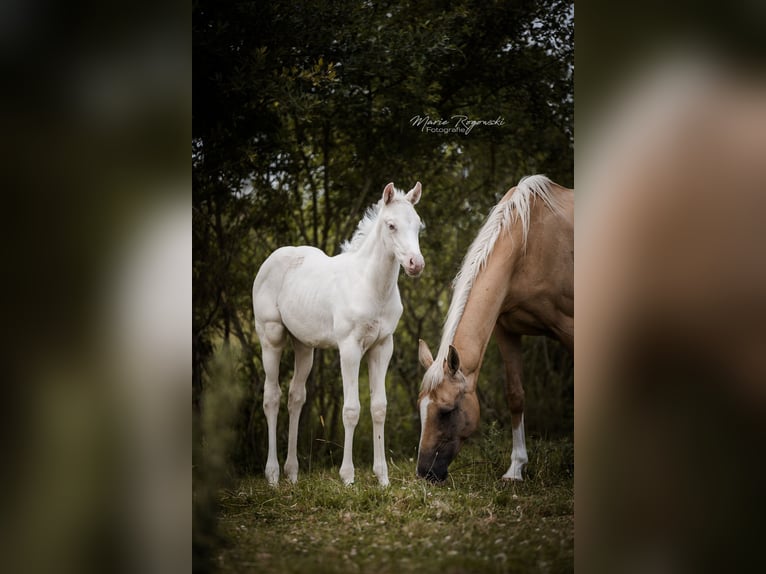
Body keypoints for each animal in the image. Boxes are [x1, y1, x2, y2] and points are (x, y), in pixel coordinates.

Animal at [254, 182, 426, 488]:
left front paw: (382, 477)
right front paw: (348, 477)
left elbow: (379, 407)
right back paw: (272, 475)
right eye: (391, 225)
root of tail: (271, 260)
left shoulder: (383, 346)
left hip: (303, 345)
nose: (415, 264)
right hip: (270, 337)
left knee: (295, 397)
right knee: (271, 397)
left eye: (418, 225)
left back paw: (292, 473)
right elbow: (351, 409)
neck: (371, 285)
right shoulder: (349, 348)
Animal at [416, 177, 572, 486]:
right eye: (420, 408)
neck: (529, 245)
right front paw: (515, 469)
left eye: (446, 411)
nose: (424, 473)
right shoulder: (505, 330)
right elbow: (515, 395)